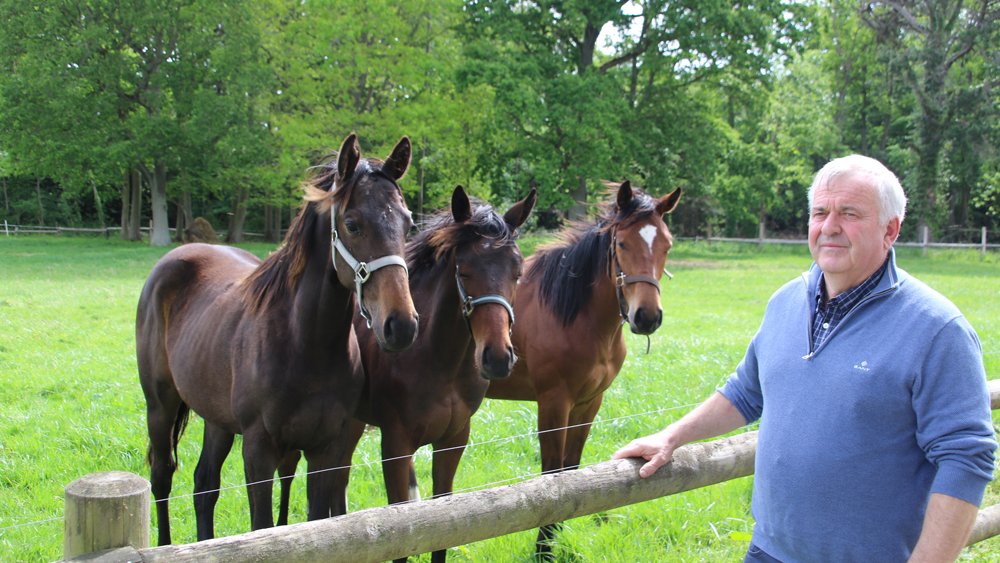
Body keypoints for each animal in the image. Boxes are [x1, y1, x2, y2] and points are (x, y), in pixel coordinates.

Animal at [136, 133, 420, 545]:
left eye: (408, 223)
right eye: (352, 223)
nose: (401, 325)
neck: (306, 346)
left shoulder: (325, 449)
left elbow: (318, 522)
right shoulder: (258, 451)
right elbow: (263, 528)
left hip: (217, 419)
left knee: (204, 486)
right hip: (160, 406)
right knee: (162, 476)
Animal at [275, 185, 536, 562]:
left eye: (517, 270)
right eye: (464, 270)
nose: (498, 357)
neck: (437, 361)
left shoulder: (453, 440)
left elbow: (444, 527)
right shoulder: (396, 445)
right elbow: (400, 531)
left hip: (351, 424)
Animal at [485, 180, 682, 556]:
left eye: (666, 244)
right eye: (622, 243)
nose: (647, 316)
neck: (570, 314)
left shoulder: (588, 404)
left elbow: (572, 469)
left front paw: (554, 538)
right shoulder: (553, 403)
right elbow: (552, 475)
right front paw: (543, 548)